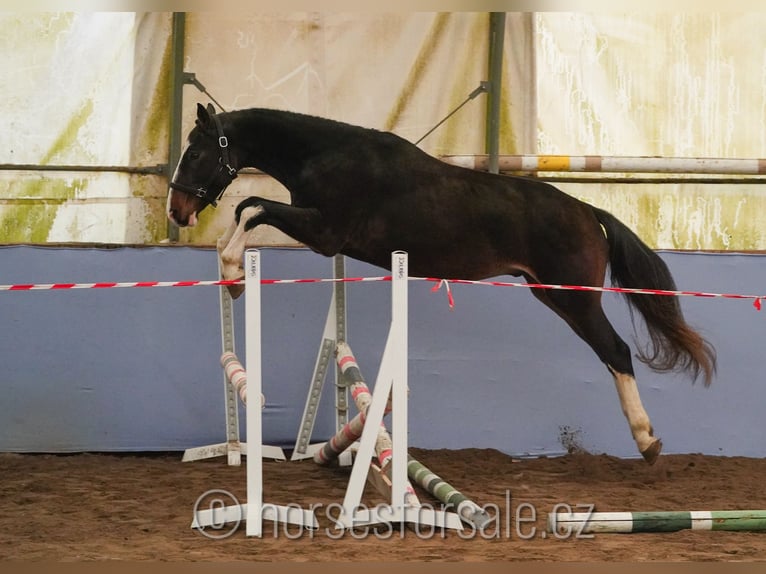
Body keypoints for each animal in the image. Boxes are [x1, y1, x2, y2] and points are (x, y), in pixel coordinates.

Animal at [168, 102, 720, 464]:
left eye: (195, 153)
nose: (177, 210)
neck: (330, 157)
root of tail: (588, 211)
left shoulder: (325, 234)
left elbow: (251, 207)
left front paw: (234, 273)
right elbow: (248, 207)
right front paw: (230, 271)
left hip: (575, 300)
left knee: (617, 352)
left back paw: (648, 442)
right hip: (551, 295)